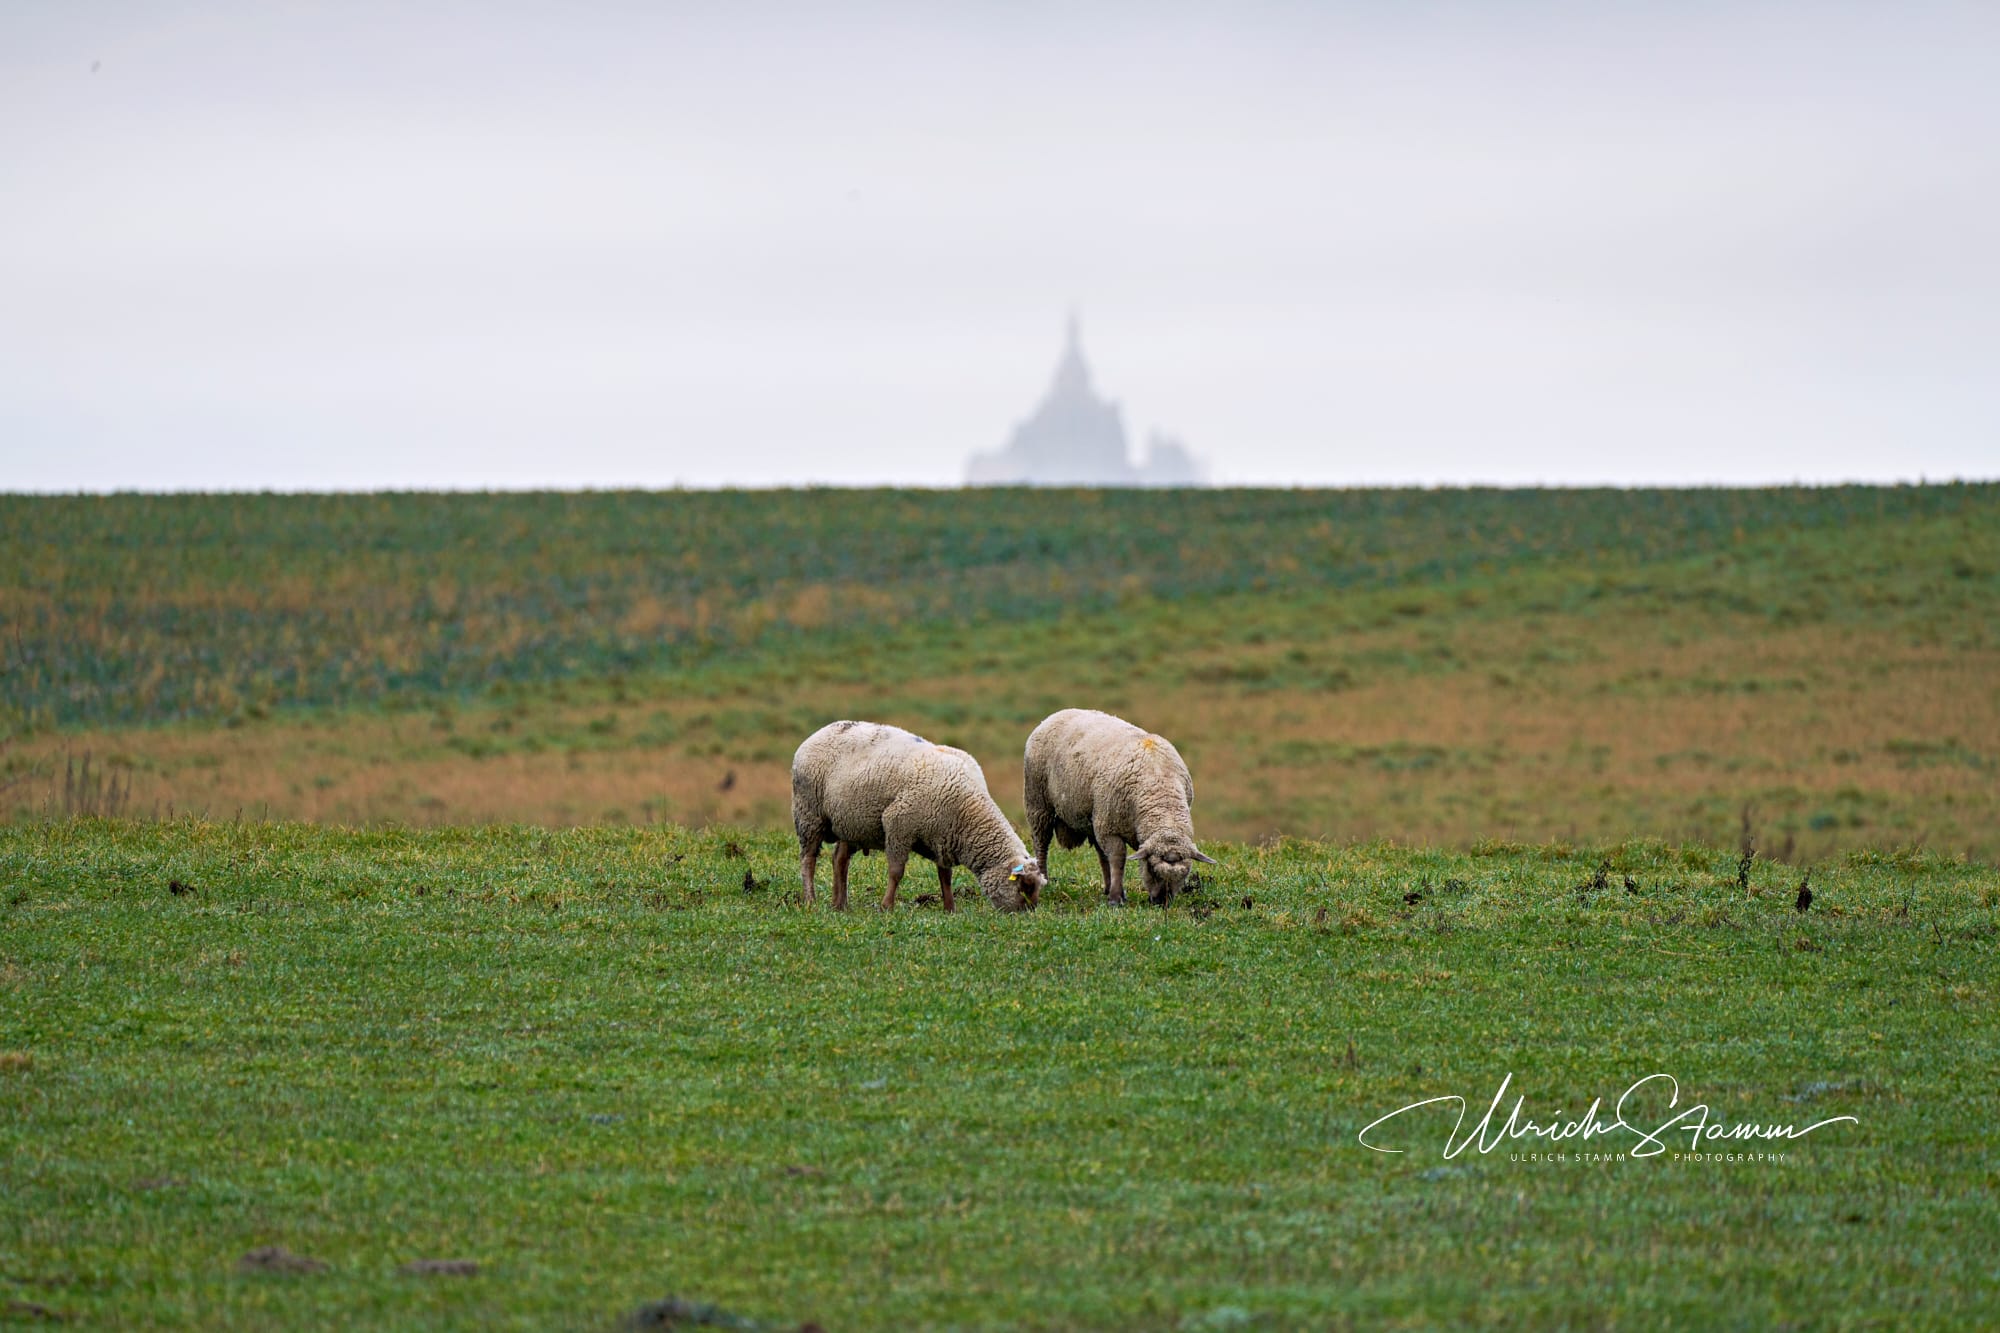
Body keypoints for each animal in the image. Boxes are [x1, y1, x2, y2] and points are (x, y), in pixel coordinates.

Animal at [792, 716, 1056, 912]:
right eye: (1025, 886)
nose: (1027, 913)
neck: (967, 809)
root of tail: (816, 734)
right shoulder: (898, 824)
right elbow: (896, 872)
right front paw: (887, 906)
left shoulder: (943, 838)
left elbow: (945, 876)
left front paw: (950, 908)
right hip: (809, 815)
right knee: (808, 860)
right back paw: (810, 901)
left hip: (851, 822)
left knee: (839, 859)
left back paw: (840, 905)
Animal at [1024, 704, 1208, 904]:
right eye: (1151, 868)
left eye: (1185, 874)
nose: (1162, 902)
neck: (1160, 792)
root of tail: (1056, 714)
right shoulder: (1110, 829)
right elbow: (1118, 860)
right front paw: (1115, 899)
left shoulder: (1105, 824)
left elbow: (1110, 858)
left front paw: (1115, 894)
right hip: (1038, 803)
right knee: (1041, 843)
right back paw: (1044, 879)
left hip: (1095, 816)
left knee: (1101, 853)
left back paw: (1107, 886)